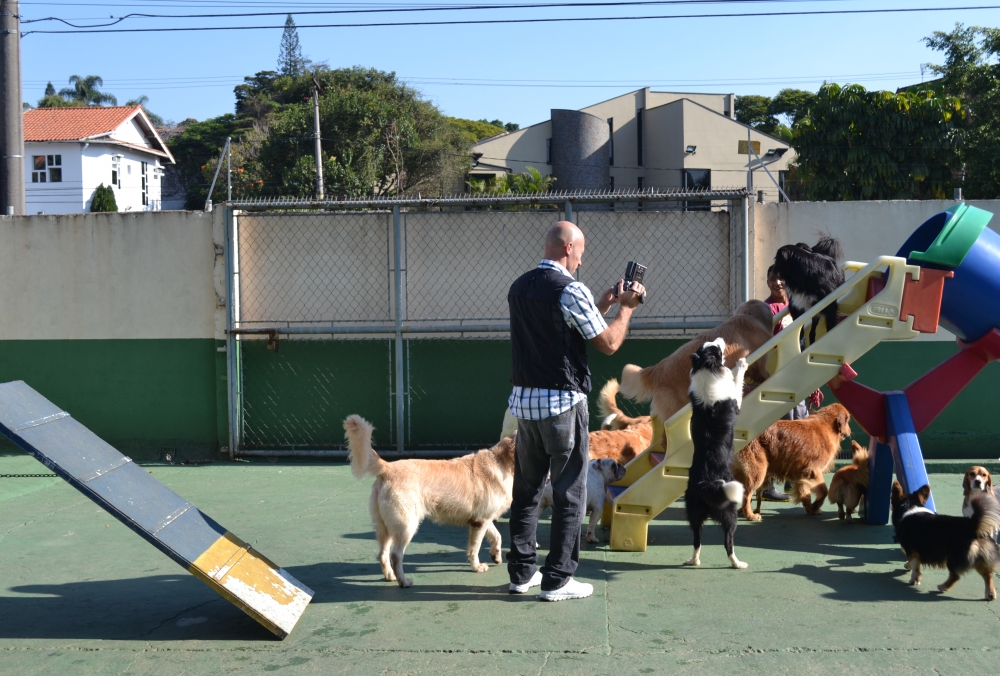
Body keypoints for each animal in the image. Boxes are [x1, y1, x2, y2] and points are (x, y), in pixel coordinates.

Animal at [344, 412, 516, 588]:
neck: (501, 463)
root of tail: (388, 467)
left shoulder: (483, 519)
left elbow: (497, 536)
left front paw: (496, 555)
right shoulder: (480, 522)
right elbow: (474, 548)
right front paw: (476, 567)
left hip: (384, 527)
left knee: (383, 553)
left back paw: (390, 576)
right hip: (406, 525)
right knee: (395, 555)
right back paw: (403, 581)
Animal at [684, 338, 748, 572]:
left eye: (710, 345)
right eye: (717, 349)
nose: (721, 339)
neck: (706, 367)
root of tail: (706, 483)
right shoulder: (735, 401)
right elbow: (737, 380)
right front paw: (741, 363)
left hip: (694, 513)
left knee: (696, 539)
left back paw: (694, 560)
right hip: (730, 512)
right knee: (728, 542)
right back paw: (738, 563)